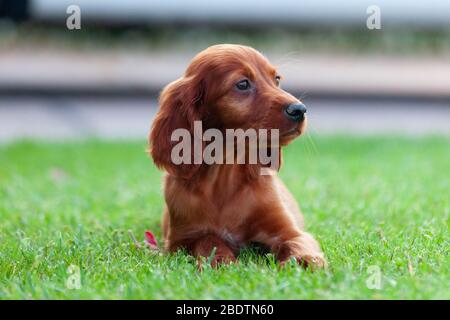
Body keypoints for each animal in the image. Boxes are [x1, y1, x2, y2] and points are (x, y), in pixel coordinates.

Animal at [149, 43, 326, 268]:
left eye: (277, 79)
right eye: (242, 84)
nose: (300, 109)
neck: (225, 174)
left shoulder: (287, 230)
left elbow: (297, 242)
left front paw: (306, 260)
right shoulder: (182, 240)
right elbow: (208, 240)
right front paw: (221, 261)